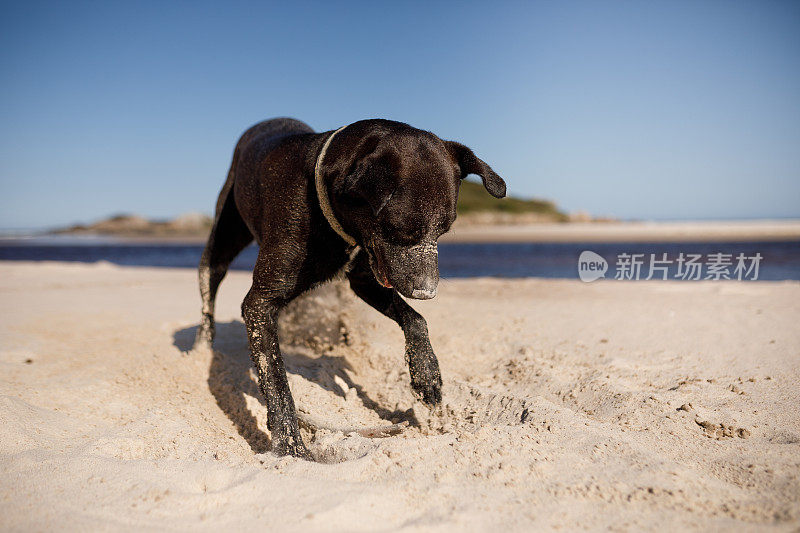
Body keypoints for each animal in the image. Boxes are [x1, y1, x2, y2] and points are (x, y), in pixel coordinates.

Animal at [195, 117, 506, 458]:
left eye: (444, 229)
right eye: (399, 229)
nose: (426, 292)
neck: (320, 203)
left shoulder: (365, 279)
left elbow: (416, 320)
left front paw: (426, 375)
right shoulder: (260, 303)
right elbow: (276, 380)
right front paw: (291, 447)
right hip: (224, 233)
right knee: (210, 283)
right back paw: (201, 347)